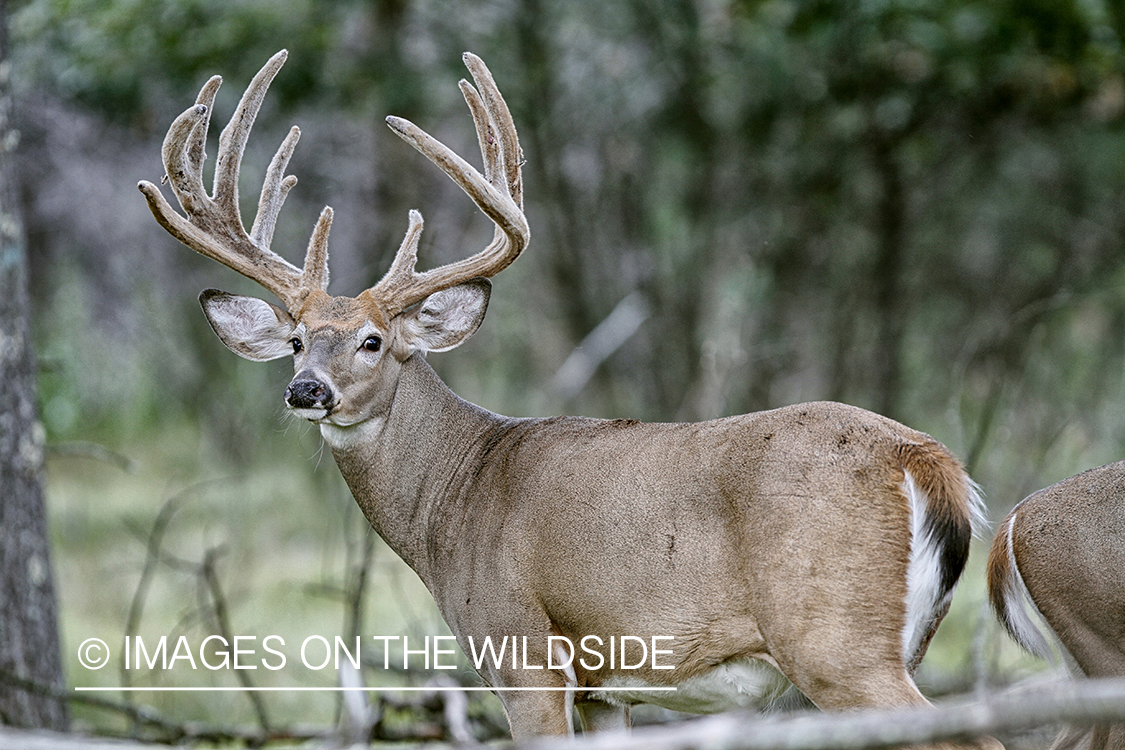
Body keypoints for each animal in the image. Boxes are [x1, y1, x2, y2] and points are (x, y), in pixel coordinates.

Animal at [138, 49, 1003, 746]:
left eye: (373, 341)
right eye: (293, 340)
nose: (305, 390)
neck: (453, 499)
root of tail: (926, 460)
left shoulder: (521, 649)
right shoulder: (602, 688)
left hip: (835, 638)